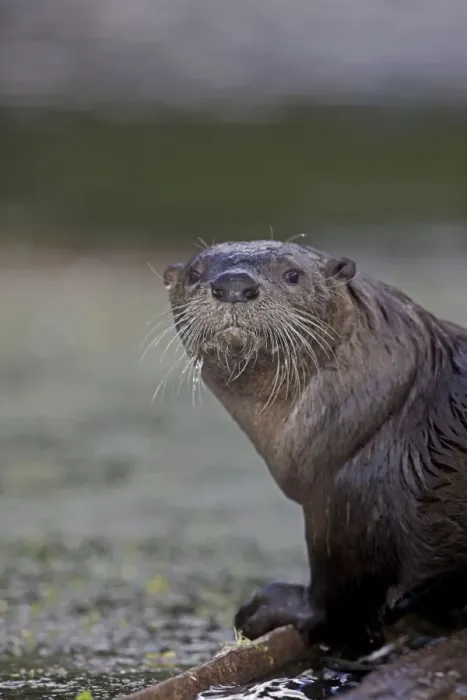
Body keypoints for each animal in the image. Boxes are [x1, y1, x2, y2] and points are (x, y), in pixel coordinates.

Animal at [163, 240, 467, 648]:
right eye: (195, 274)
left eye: (293, 274)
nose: (233, 284)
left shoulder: (346, 502)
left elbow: (340, 604)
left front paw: (270, 607)